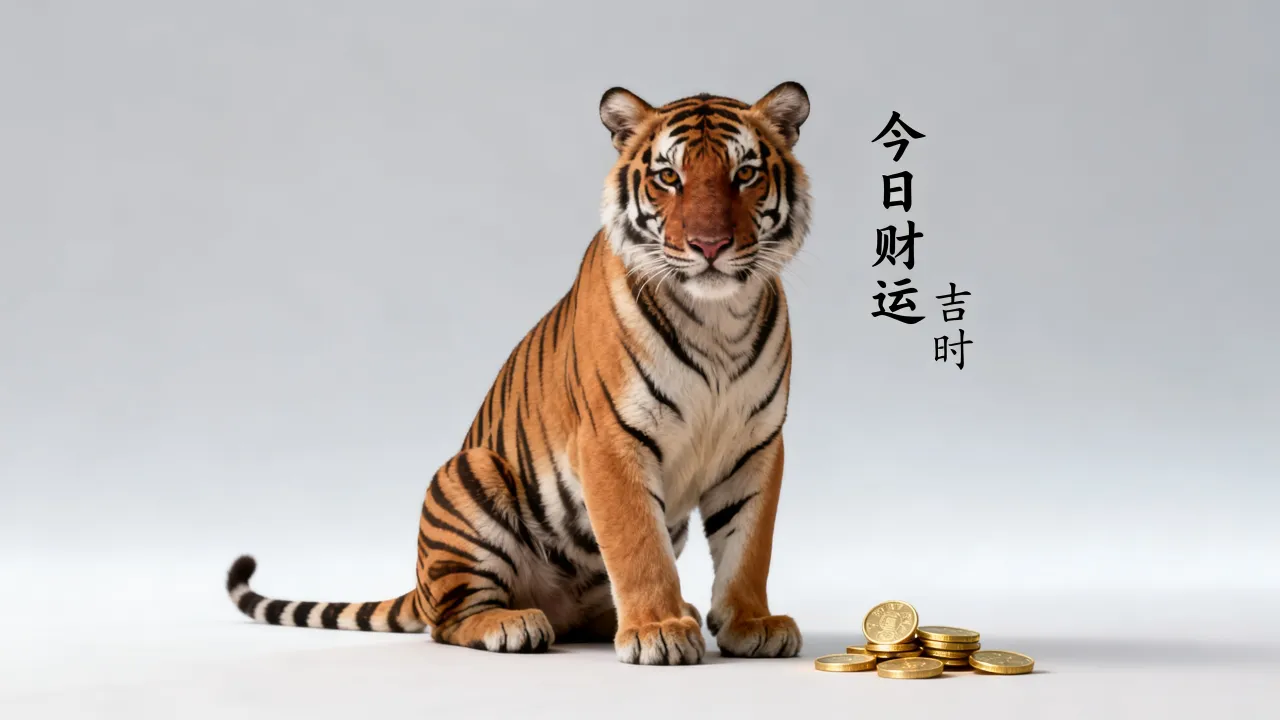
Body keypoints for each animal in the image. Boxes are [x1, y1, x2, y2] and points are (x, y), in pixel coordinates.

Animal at [226, 81, 813, 666]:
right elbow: (638, 545)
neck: (718, 319)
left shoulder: (757, 445)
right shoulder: (612, 440)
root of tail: (421, 583)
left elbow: (748, 545)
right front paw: (657, 631)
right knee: (448, 620)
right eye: (670, 177)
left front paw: (751, 623)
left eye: (745, 174)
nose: (709, 246)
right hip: (470, 475)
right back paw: (516, 624)